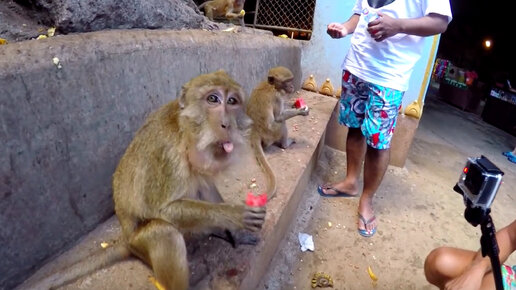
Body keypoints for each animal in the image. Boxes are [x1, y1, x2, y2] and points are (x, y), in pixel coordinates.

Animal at [30, 71, 266, 290]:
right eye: (213, 99)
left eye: (232, 101)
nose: (227, 124)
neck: (186, 131)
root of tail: (126, 240)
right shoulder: (166, 154)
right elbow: (163, 210)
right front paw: (236, 214)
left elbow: (206, 187)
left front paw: (236, 231)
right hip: (140, 244)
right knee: (164, 233)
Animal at [246, 66, 310, 201]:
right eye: (287, 81)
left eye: (291, 80)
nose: (291, 86)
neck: (272, 86)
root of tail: (255, 130)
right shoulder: (276, 97)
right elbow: (279, 117)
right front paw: (300, 111)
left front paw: (293, 104)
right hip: (272, 133)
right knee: (282, 124)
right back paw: (286, 144)